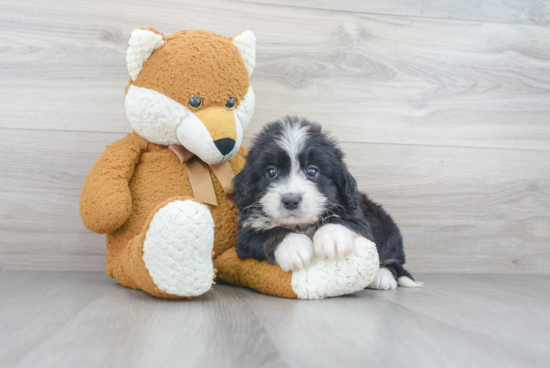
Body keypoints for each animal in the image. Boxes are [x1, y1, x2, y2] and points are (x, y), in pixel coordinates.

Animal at [234, 116, 422, 288]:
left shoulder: (357, 216)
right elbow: (270, 233)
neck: (301, 225)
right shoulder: (246, 236)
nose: (291, 201)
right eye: (271, 172)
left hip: (389, 233)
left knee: (393, 263)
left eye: (312, 171)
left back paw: (383, 277)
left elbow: (342, 218)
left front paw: (332, 238)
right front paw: (294, 246)